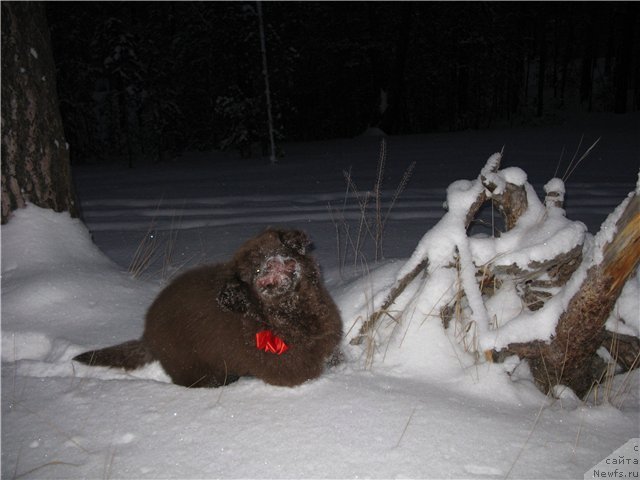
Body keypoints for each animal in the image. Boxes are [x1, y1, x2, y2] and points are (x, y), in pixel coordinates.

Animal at [74, 227, 344, 388]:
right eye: (256, 270)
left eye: (278, 250)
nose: (272, 263)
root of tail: (147, 335)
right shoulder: (286, 365)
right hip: (191, 364)